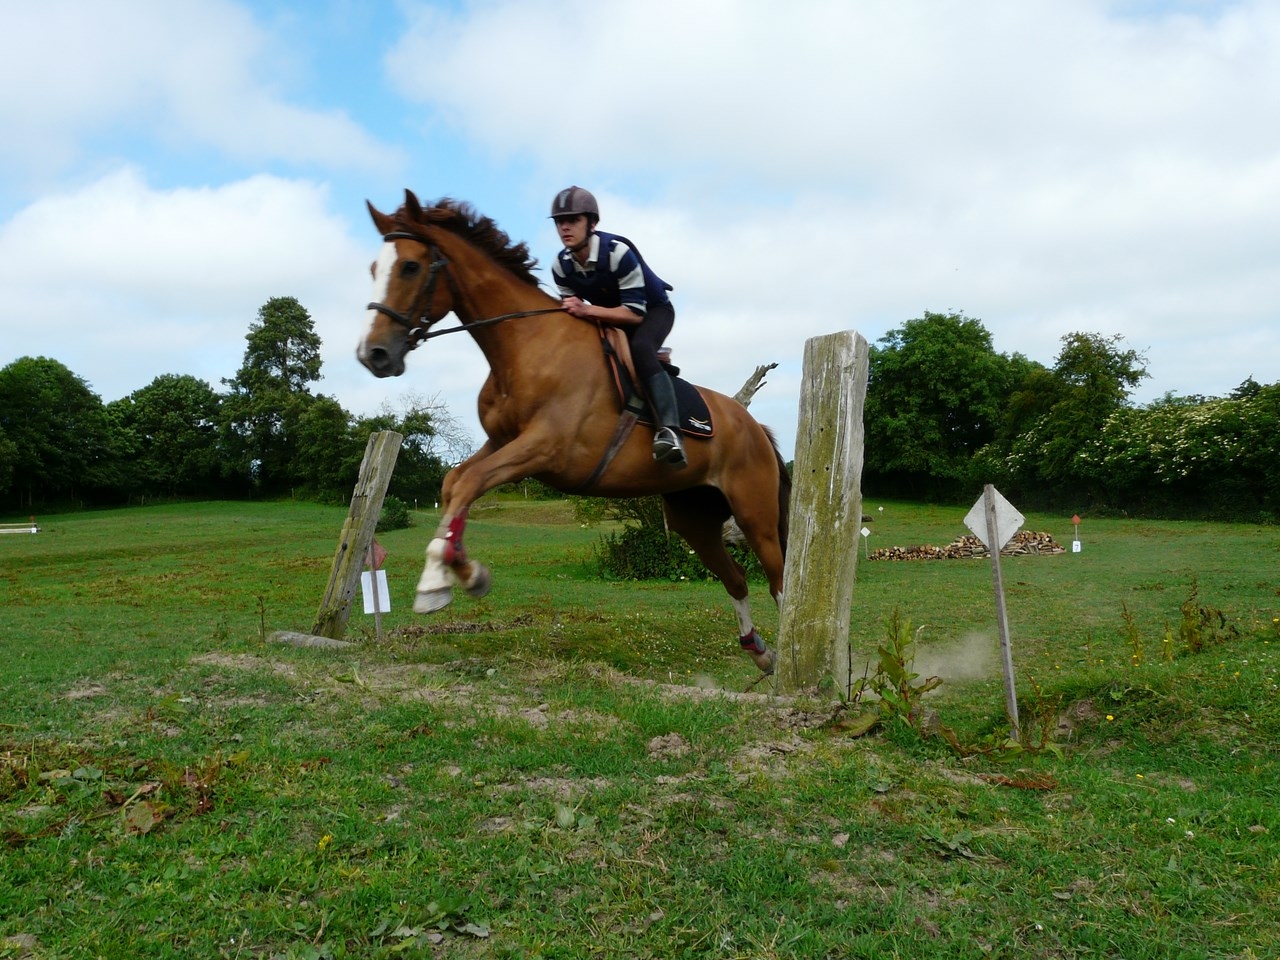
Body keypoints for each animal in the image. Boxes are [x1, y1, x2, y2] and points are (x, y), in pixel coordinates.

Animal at [355, 189, 783, 675]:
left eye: (410, 266)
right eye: (373, 269)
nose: (374, 354)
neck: (522, 343)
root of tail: (753, 426)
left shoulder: (543, 449)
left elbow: (469, 483)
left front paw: (434, 583)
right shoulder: (502, 442)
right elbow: (454, 483)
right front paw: (462, 573)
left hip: (754, 514)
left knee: (779, 578)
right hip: (694, 518)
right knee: (736, 578)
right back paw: (760, 652)